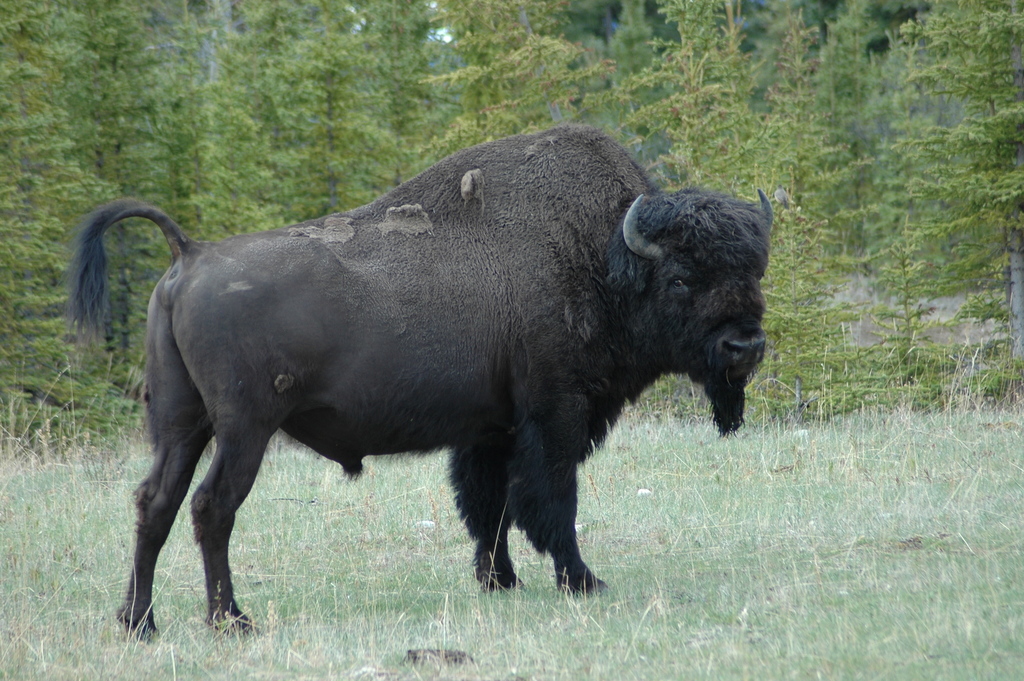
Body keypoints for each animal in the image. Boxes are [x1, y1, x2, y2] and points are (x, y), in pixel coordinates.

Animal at [68, 124, 772, 637]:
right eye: (680, 278)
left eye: (754, 270)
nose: (744, 345)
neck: (599, 256)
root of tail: (190, 255)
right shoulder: (555, 414)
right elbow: (551, 501)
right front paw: (582, 581)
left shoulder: (491, 429)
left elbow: (489, 507)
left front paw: (500, 581)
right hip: (244, 427)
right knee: (212, 507)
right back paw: (230, 621)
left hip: (180, 422)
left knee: (154, 503)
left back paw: (139, 623)